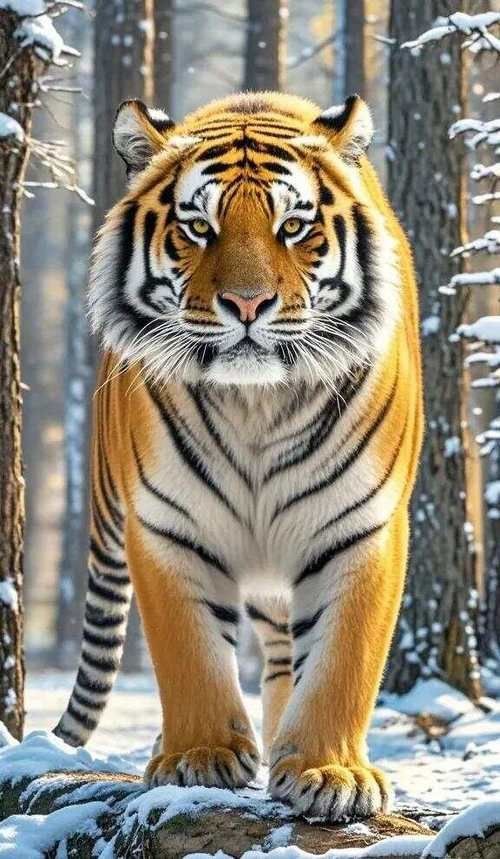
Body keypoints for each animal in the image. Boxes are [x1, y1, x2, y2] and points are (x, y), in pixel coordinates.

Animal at [54, 91, 423, 822]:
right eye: (198, 226)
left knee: (287, 658)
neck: (257, 403)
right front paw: (199, 757)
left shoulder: (362, 527)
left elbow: (342, 659)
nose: (247, 304)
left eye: (294, 226)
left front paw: (329, 771)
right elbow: (191, 655)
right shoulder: (168, 525)